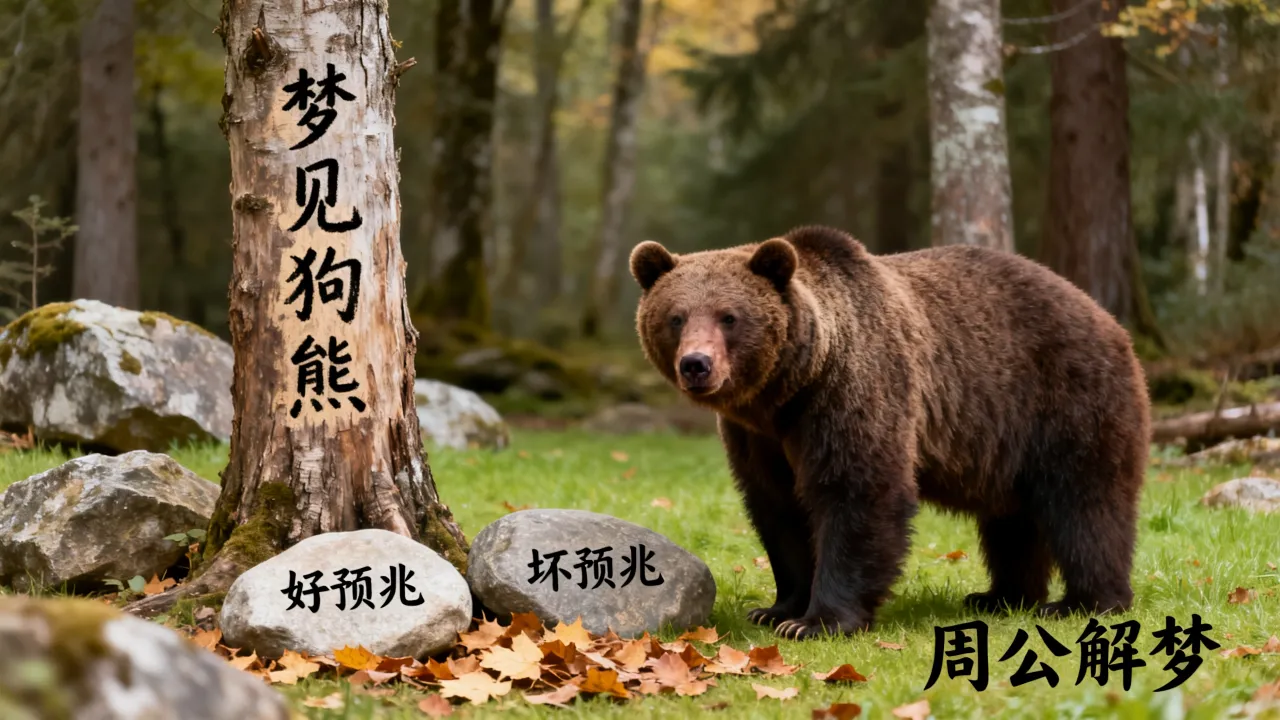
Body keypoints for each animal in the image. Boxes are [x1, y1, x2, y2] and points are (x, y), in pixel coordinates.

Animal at [628, 225, 1150, 639]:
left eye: (729, 317)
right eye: (676, 317)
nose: (697, 364)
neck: (785, 392)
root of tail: (1107, 318)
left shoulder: (851, 390)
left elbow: (857, 492)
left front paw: (818, 621)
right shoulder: (757, 437)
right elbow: (777, 508)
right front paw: (777, 609)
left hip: (1065, 399)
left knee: (1086, 504)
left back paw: (1084, 601)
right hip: (1005, 442)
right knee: (1012, 521)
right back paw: (1001, 595)